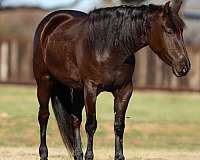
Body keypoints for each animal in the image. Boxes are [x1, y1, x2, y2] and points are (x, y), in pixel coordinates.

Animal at [32, 1, 191, 160]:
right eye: (169, 31)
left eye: (181, 31)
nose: (184, 66)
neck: (109, 48)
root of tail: (50, 22)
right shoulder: (91, 89)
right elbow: (91, 125)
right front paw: (90, 156)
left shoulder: (124, 90)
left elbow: (119, 125)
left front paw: (119, 156)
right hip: (44, 82)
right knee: (44, 116)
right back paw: (43, 153)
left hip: (77, 90)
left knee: (75, 118)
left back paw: (78, 154)